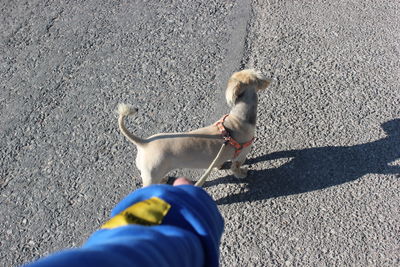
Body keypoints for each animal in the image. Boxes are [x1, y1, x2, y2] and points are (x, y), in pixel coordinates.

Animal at [117, 69, 270, 186]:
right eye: (257, 76)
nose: (269, 79)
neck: (238, 118)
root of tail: (144, 143)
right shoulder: (241, 155)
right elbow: (236, 167)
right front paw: (242, 174)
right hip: (151, 173)